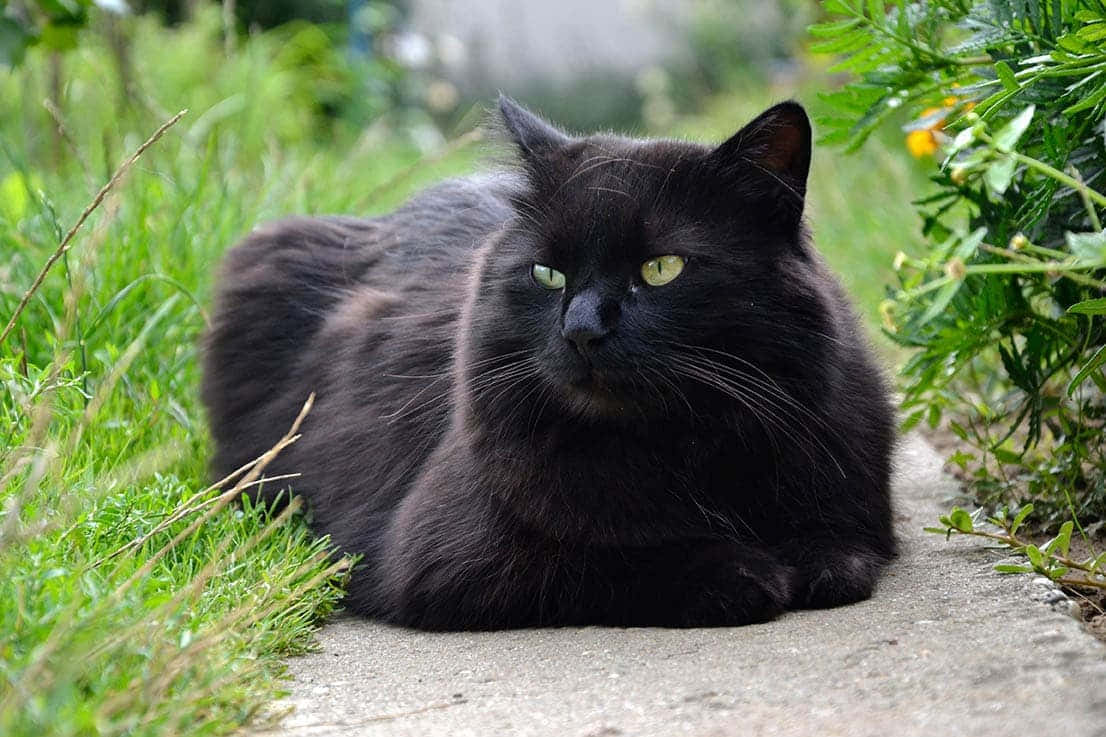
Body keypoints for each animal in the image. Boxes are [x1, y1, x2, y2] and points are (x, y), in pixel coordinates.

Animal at [201, 94, 898, 628]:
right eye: (547, 274)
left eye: (662, 269)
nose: (582, 329)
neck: (685, 445)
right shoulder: (454, 559)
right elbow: (621, 555)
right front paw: (741, 572)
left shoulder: (852, 499)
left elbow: (843, 553)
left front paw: (808, 561)